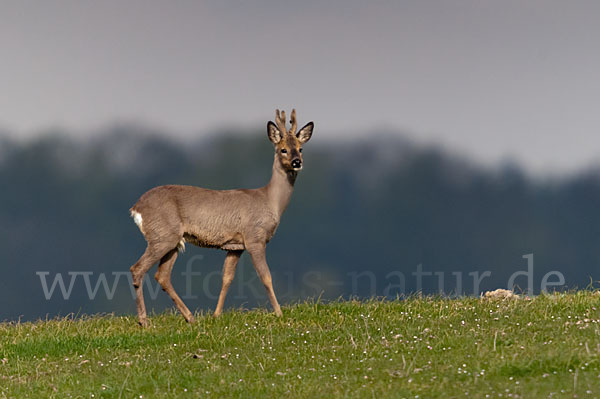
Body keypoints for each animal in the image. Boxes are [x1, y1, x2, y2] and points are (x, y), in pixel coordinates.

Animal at [128, 108, 312, 324]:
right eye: (282, 149)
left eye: (300, 148)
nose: (297, 162)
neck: (269, 201)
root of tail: (136, 208)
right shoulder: (254, 237)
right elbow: (266, 276)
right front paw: (279, 313)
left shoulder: (235, 246)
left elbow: (227, 278)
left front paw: (216, 314)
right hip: (162, 236)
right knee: (137, 268)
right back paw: (144, 321)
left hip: (173, 241)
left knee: (162, 275)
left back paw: (190, 317)